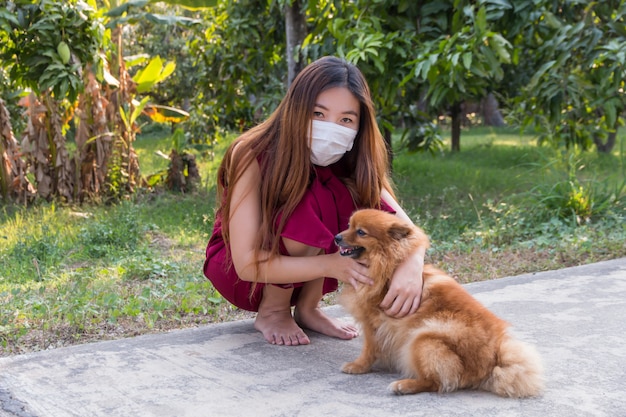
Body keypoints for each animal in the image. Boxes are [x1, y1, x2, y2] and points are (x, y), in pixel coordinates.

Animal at [332, 208, 540, 396]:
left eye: (361, 232)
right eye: (349, 225)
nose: (336, 237)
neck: (386, 266)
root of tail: (493, 361)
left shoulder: (372, 323)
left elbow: (369, 349)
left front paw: (358, 366)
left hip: (422, 338)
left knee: (434, 382)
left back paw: (404, 385)